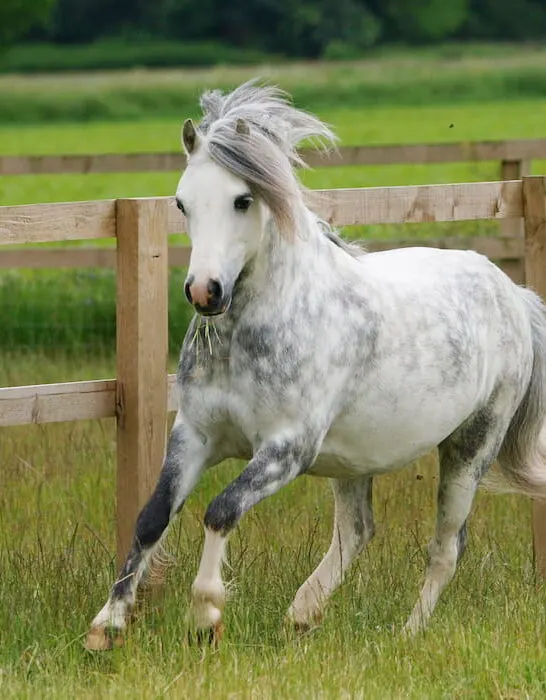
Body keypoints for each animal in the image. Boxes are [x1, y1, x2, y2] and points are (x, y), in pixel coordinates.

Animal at [86, 81, 546, 650]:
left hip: (471, 447)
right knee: (358, 530)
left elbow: (221, 510)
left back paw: (406, 633)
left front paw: (206, 614)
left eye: (242, 200)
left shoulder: (287, 448)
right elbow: (152, 517)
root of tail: (513, 292)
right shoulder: (194, 435)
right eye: (181, 202)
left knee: (446, 546)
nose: (204, 292)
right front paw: (106, 625)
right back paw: (303, 614)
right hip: (354, 458)